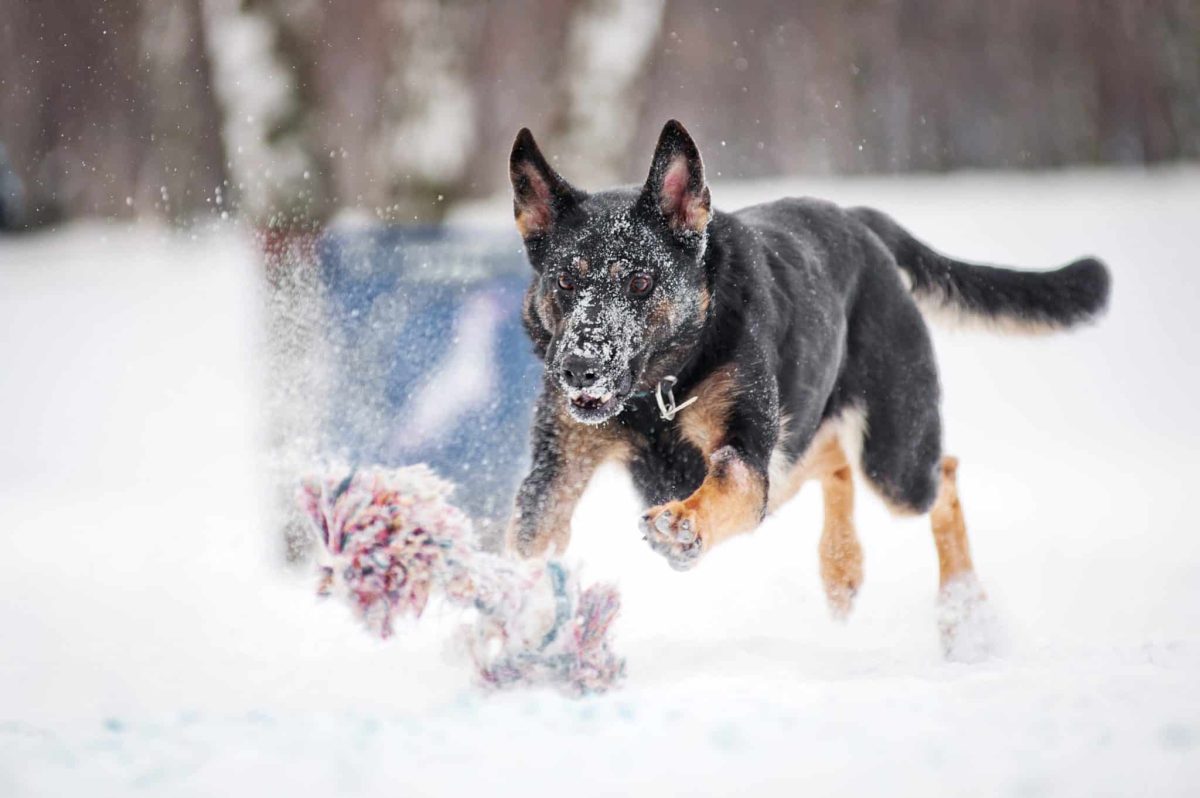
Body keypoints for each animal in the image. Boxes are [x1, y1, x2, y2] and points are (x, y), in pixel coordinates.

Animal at [501, 118, 1108, 628]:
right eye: (566, 281)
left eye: (640, 283)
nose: (579, 369)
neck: (660, 391)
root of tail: (858, 221)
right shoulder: (557, 469)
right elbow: (528, 541)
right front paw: (508, 615)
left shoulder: (746, 454)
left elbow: (729, 480)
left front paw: (683, 524)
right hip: (804, 454)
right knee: (835, 461)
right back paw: (842, 567)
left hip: (894, 464)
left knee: (941, 474)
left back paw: (964, 610)